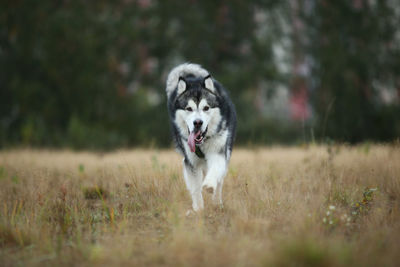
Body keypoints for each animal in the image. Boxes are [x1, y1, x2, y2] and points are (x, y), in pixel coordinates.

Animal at [166, 63, 238, 213]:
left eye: (206, 108)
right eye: (189, 108)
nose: (198, 122)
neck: (202, 143)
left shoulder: (218, 152)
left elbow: (215, 171)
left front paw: (209, 185)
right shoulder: (190, 162)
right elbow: (195, 188)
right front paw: (198, 210)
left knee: (220, 179)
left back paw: (217, 201)